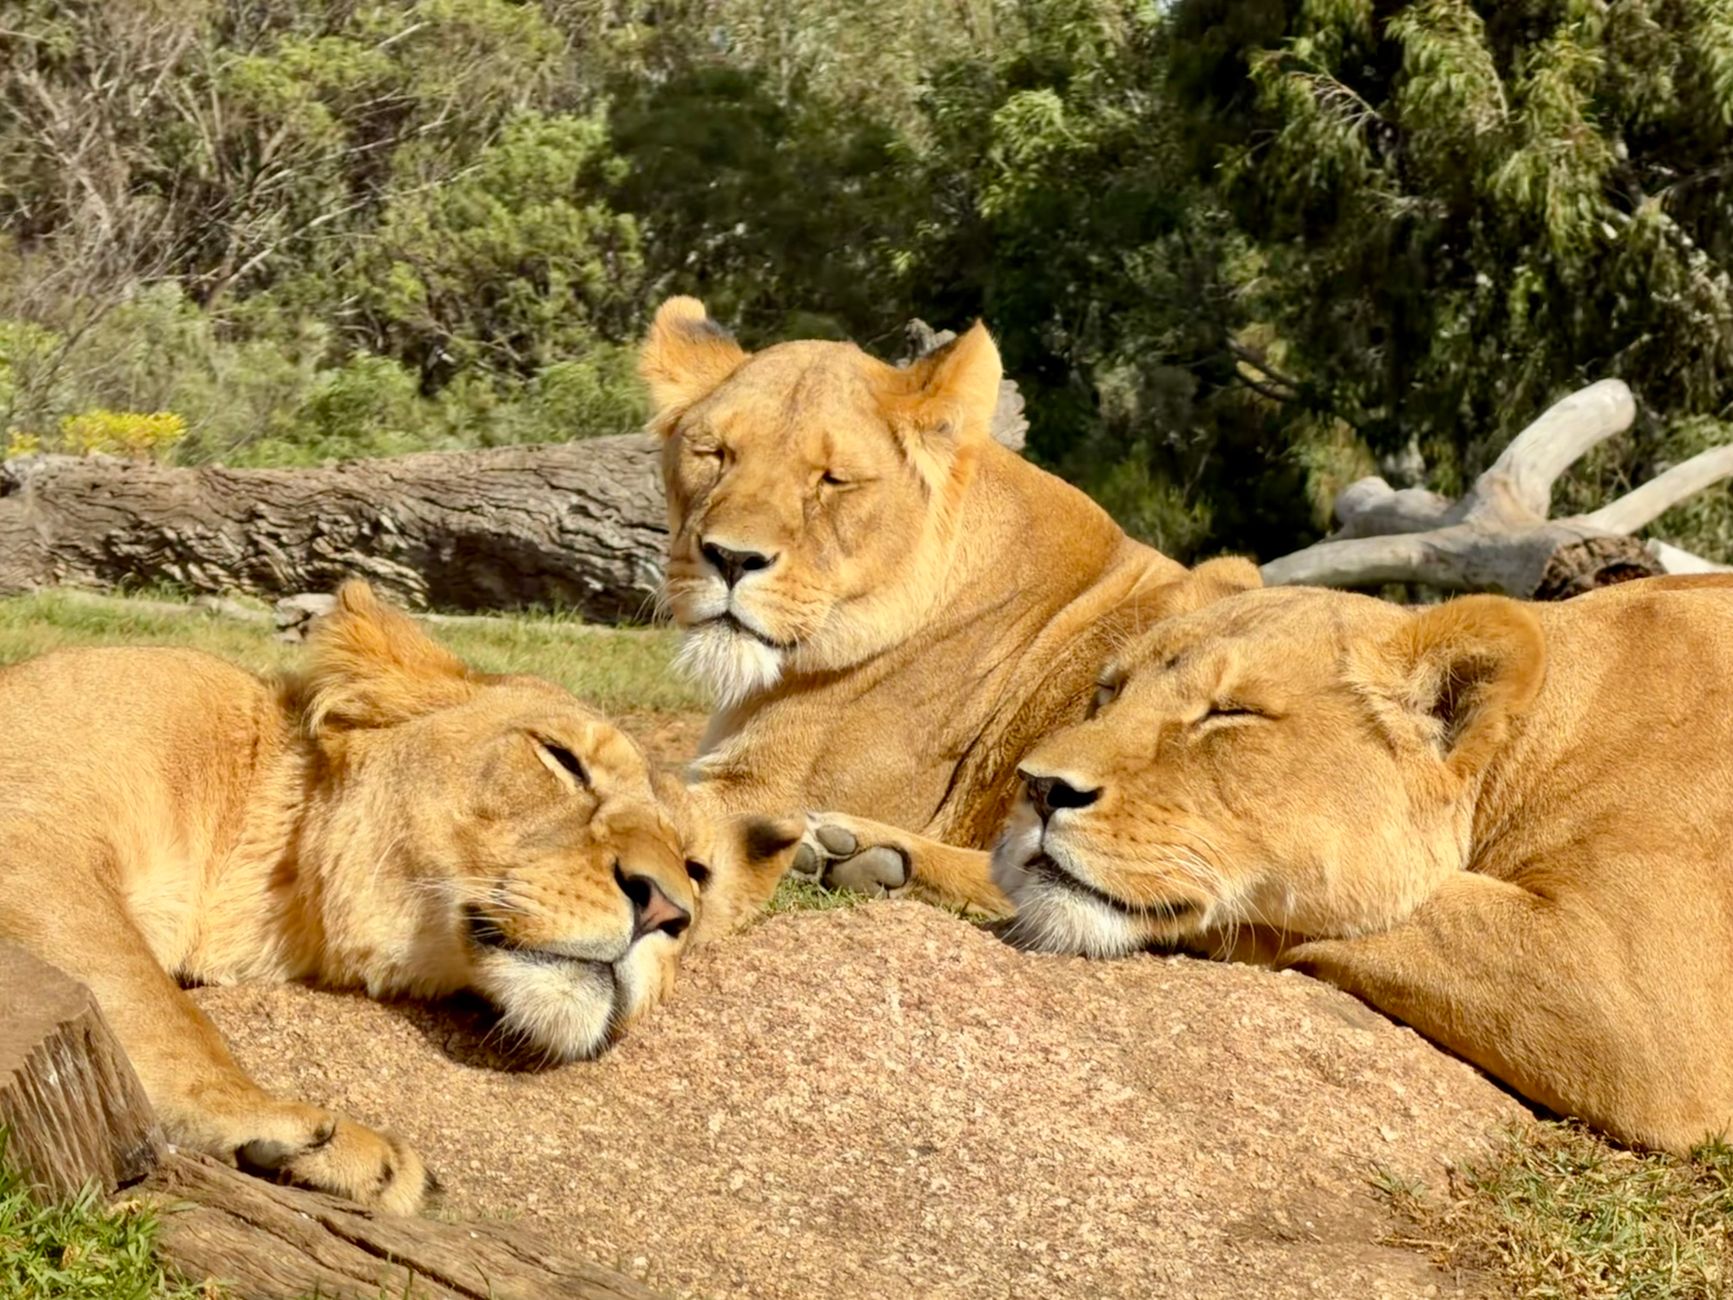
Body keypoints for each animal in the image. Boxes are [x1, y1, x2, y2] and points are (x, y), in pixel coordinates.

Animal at [0, 582, 790, 1211]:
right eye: (562, 760)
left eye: (695, 868)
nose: (665, 910)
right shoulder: (31, 830)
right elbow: (147, 996)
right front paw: (279, 1123)